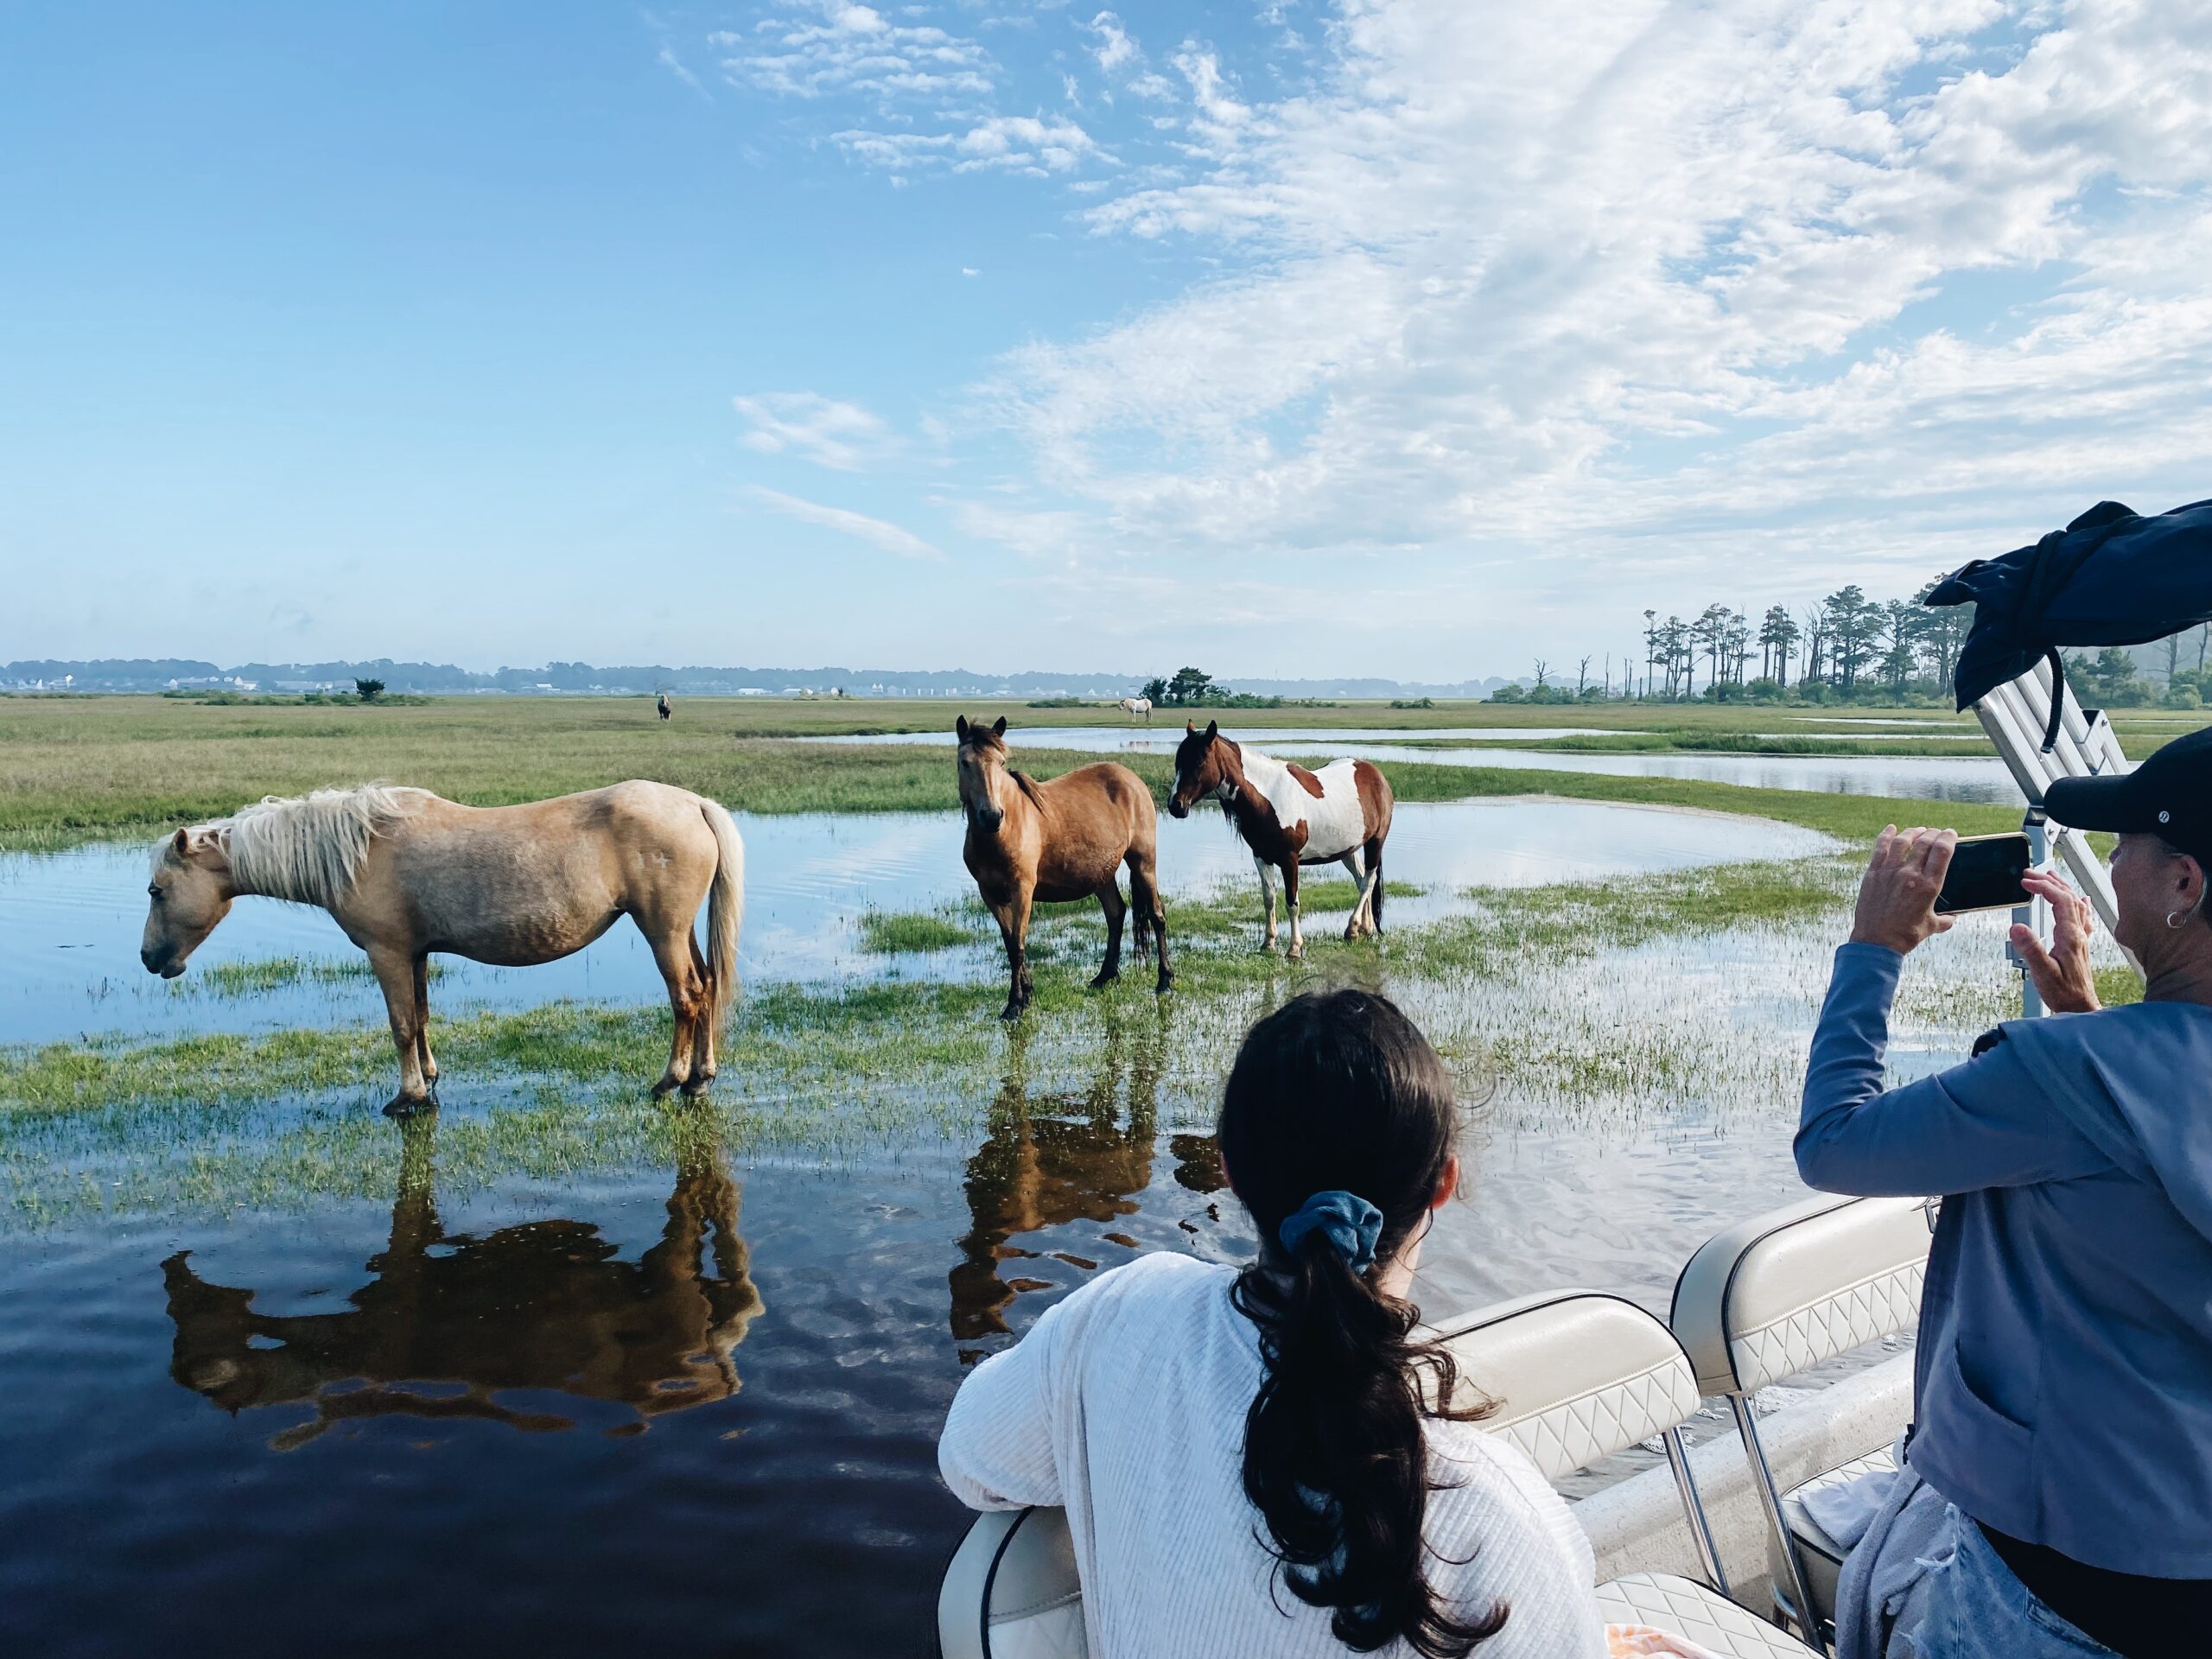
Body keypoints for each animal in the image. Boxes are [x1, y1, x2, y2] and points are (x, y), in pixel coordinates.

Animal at [138, 783, 743, 1119]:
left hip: (661, 930)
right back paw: (701, 1078)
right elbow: (423, 1017)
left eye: (156, 890)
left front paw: (407, 1097)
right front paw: (429, 1081)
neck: (361, 850)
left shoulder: (385, 953)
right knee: (708, 987)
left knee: (687, 997)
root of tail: (693, 803)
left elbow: (401, 1024)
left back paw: (672, 1080)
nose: (149, 959)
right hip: (679, 930)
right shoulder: (416, 953)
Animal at [960, 716, 1185, 1021]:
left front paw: (1014, 1004)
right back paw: (1104, 976)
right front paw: (1026, 993)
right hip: (1102, 873)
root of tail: (1133, 779)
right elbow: (1010, 944)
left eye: (1001, 762)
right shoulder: (990, 894)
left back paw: (1164, 980)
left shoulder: (1022, 891)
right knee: (1116, 913)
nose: (992, 816)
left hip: (1143, 861)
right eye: (965, 762)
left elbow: (1017, 946)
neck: (1001, 834)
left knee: (1156, 915)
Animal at [1167, 716, 1389, 960]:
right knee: (1360, 879)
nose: (1175, 805)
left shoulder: (1289, 860)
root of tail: (1375, 773)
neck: (1268, 798)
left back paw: (1352, 928)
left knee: (1368, 881)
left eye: (1200, 761)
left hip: (1375, 842)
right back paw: (1364, 928)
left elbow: (1292, 903)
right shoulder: (1261, 856)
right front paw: (1268, 943)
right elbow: (1269, 898)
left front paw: (1294, 948)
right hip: (1347, 849)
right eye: (1178, 762)